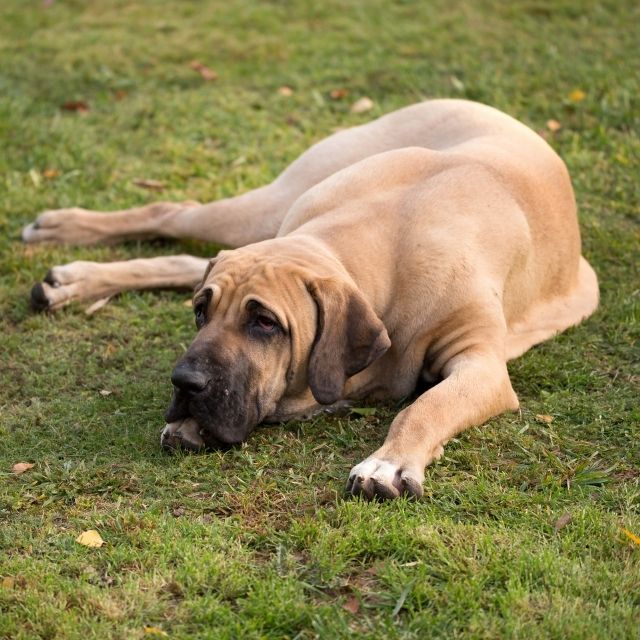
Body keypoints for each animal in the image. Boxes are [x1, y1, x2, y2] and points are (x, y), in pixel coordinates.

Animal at [22, 99, 596, 500]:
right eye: (201, 313)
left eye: (264, 323)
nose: (185, 383)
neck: (383, 238)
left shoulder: (481, 364)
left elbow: (428, 405)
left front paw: (388, 463)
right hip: (270, 206)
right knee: (173, 213)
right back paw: (63, 242)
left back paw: (70, 280)